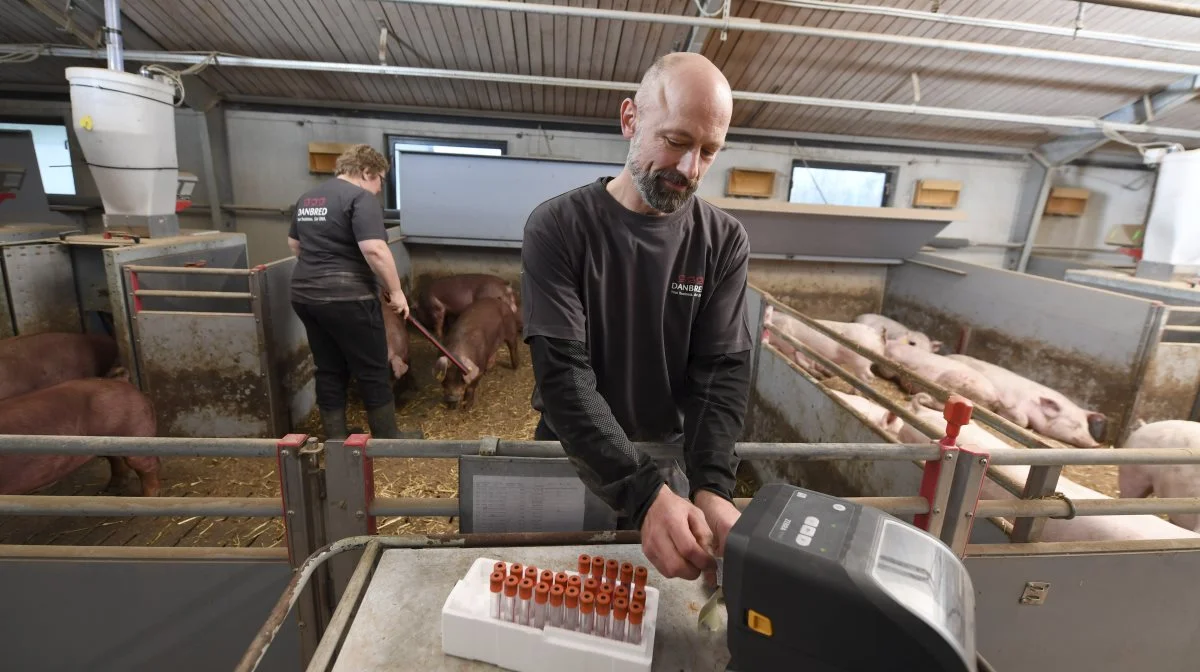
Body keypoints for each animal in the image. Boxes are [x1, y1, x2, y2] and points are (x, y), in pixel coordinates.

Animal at [0, 379, 162, 499]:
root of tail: (136, 390)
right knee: (117, 461)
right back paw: (106, 491)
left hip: (136, 432)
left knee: (147, 466)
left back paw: (148, 497)